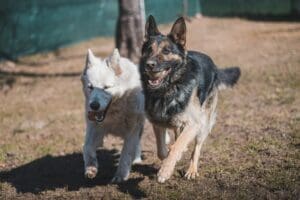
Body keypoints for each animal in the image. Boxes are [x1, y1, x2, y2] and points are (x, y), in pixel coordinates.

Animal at [81, 48, 144, 183]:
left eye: (106, 88)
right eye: (90, 87)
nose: (94, 105)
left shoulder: (132, 132)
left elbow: (125, 154)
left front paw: (120, 176)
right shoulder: (94, 129)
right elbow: (87, 147)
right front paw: (91, 168)